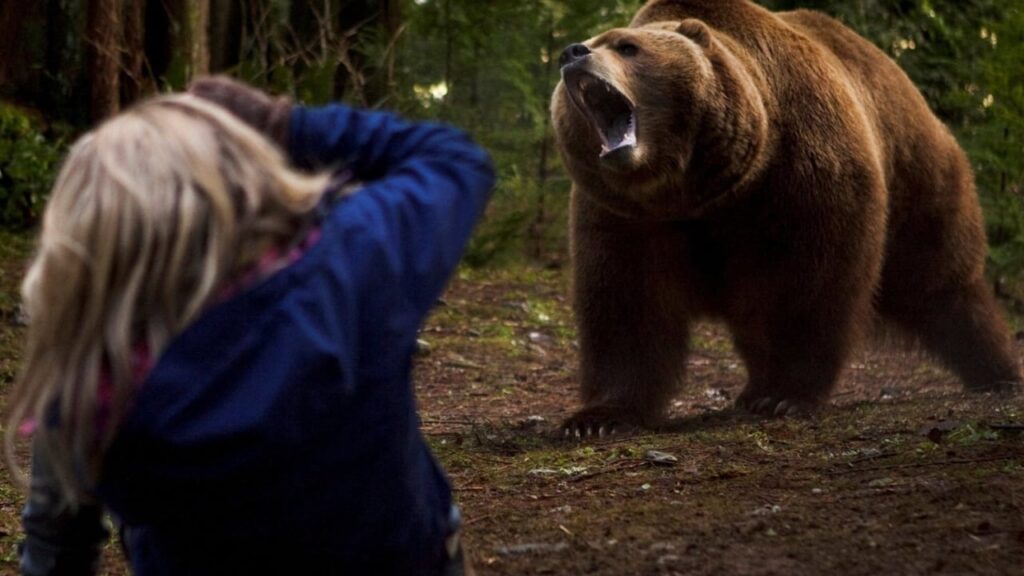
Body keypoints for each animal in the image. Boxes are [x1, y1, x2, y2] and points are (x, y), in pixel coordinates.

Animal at [551, 0, 1021, 436]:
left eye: (626, 46)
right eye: (593, 41)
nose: (572, 53)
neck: (695, 190)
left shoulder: (800, 176)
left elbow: (808, 285)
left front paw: (785, 395)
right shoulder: (626, 217)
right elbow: (627, 305)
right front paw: (597, 417)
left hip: (917, 177)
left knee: (942, 283)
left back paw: (996, 372)